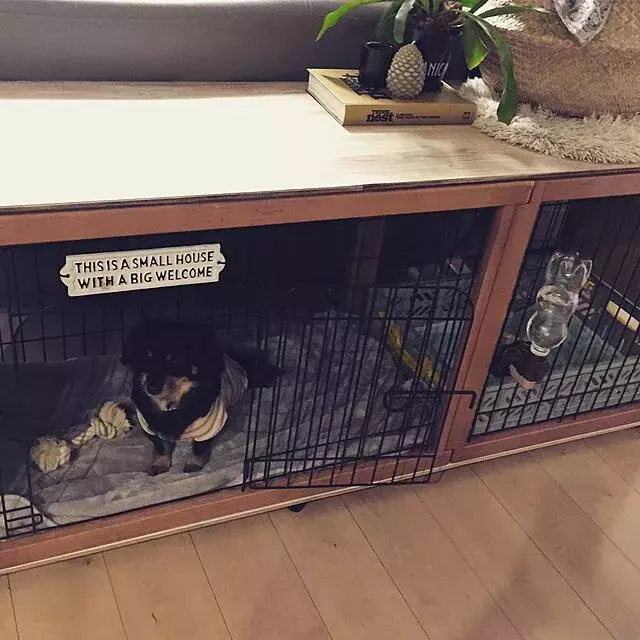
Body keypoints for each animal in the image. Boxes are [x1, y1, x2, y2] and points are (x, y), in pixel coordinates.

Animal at [122, 318, 278, 476]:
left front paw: (194, 464)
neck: (170, 403)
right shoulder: (151, 426)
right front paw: (160, 464)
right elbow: (161, 446)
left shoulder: (211, 425)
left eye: (176, 360)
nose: (151, 388)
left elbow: (199, 446)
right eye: (147, 357)